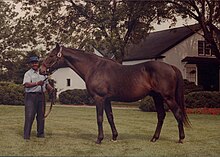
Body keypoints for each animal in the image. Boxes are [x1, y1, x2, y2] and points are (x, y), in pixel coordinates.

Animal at [40, 43, 191, 144]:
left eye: (51, 55)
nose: (41, 69)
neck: (94, 68)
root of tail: (170, 66)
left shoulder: (99, 98)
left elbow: (100, 118)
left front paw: (99, 139)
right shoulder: (107, 100)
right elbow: (110, 117)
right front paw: (114, 137)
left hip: (167, 97)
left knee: (177, 113)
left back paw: (181, 139)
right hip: (157, 97)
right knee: (161, 115)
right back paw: (154, 138)